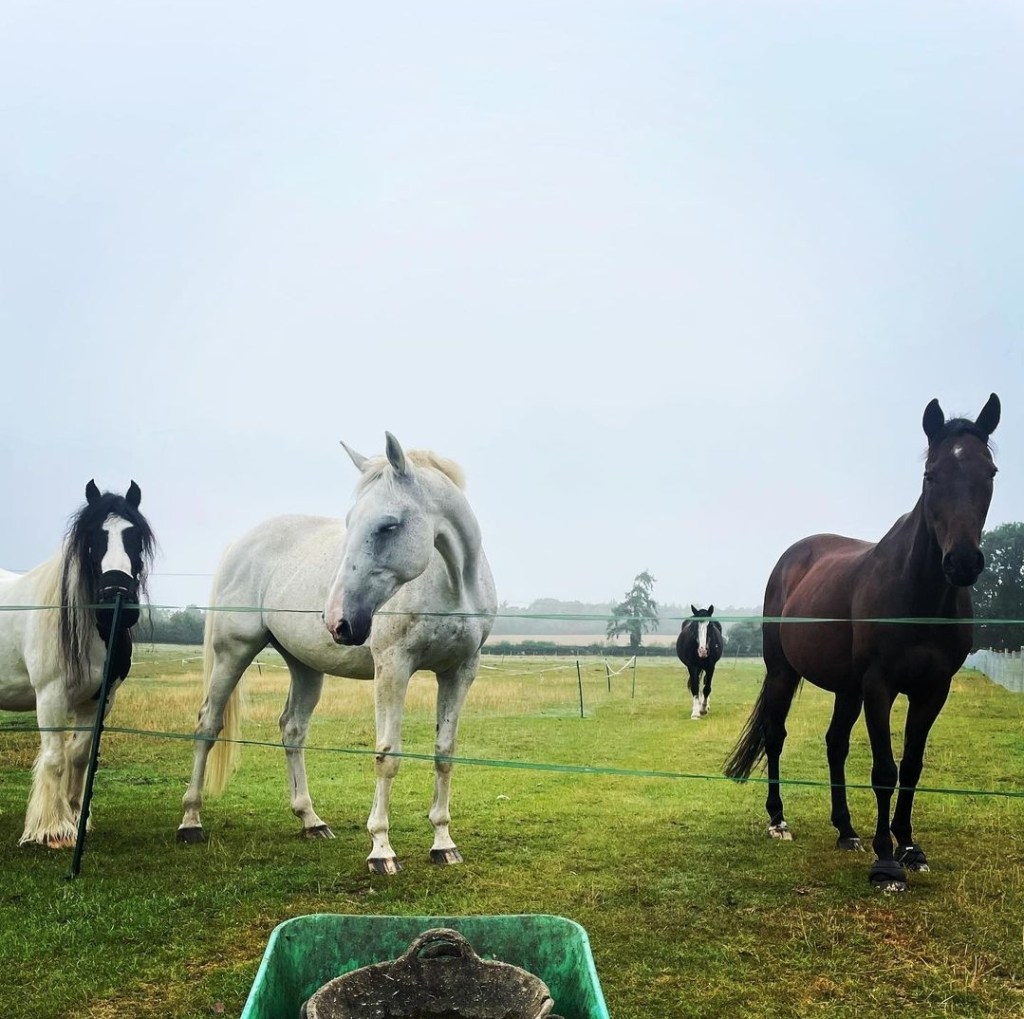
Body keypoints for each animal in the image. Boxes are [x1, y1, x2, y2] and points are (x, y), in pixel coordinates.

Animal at [0, 481, 155, 847]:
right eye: (93, 538)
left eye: (135, 537)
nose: (116, 601)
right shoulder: (50, 695)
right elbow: (55, 758)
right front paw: (52, 829)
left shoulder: (100, 699)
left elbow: (80, 755)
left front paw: (75, 815)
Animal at [177, 433, 497, 874]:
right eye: (349, 523)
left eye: (388, 524)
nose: (338, 621)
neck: (451, 583)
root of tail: (241, 542)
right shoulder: (393, 668)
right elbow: (387, 756)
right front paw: (381, 849)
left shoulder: (460, 671)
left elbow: (444, 754)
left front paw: (443, 844)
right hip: (233, 653)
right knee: (208, 724)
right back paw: (191, 821)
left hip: (304, 667)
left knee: (292, 730)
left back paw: (311, 820)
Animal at [725, 394, 1001, 891]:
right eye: (931, 475)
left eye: (989, 472)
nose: (963, 562)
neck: (918, 596)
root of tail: (791, 558)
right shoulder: (879, 686)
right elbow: (885, 771)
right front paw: (886, 862)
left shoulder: (933, 690)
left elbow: (911, 767)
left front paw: (909, 847)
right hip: (783, 672)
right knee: (776, 736)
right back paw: (778, 820)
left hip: (845, 689)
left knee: (835, 743)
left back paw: (846, 830)